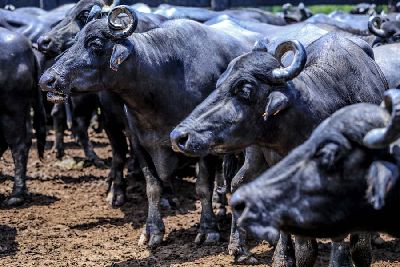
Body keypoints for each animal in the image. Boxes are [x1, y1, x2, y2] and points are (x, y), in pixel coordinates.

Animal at [39, 6, 260, 249]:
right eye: (76, 40)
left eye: (95, 43)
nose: (47, 80)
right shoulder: (140, 143)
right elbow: (152, 187)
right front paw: (152, 231)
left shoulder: (203, 146)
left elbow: (203, 187)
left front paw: (208, 229)